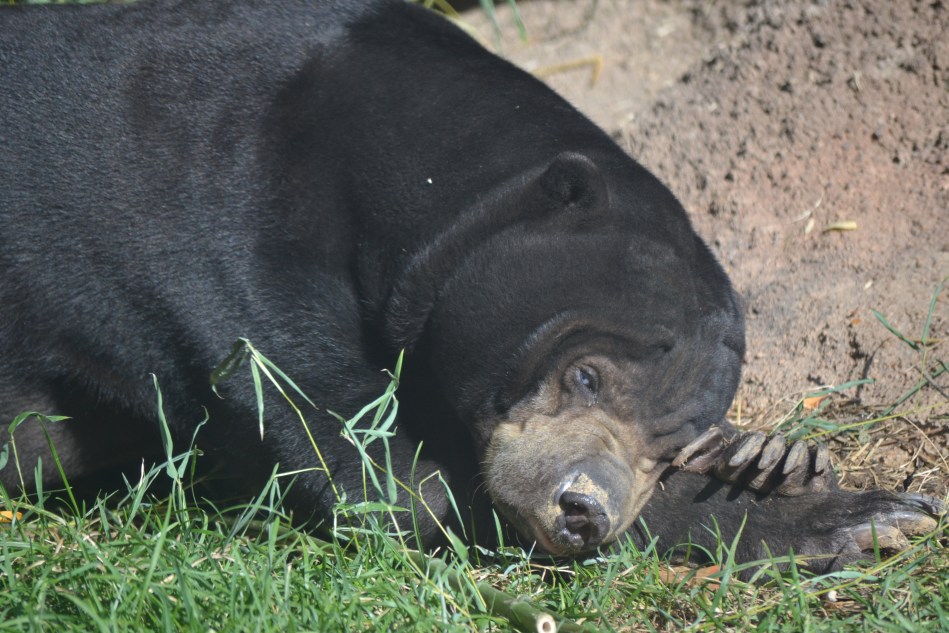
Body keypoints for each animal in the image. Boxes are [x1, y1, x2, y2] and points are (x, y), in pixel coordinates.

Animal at [0, 0, 940, 573]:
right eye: (584, 374)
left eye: (668, 445)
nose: (584, 510)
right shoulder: (228, 238)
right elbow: (391, 479)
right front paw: (843, 512)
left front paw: (770, 458)